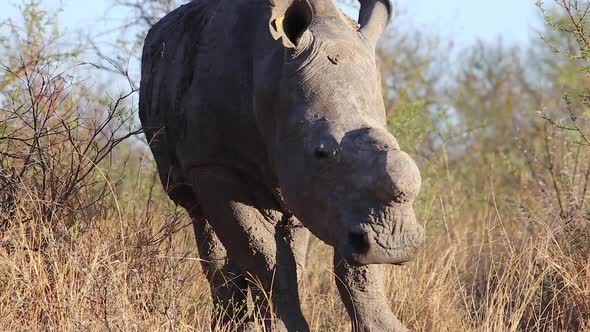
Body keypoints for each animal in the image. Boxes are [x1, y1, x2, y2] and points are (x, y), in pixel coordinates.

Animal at [139, 0, 426, 330]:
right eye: (321, 152)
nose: (394, 245)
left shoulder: (321, 188)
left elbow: (356, 267)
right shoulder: (214, 164)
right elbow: (262, 252)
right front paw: (283, 327)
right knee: (205, 221)